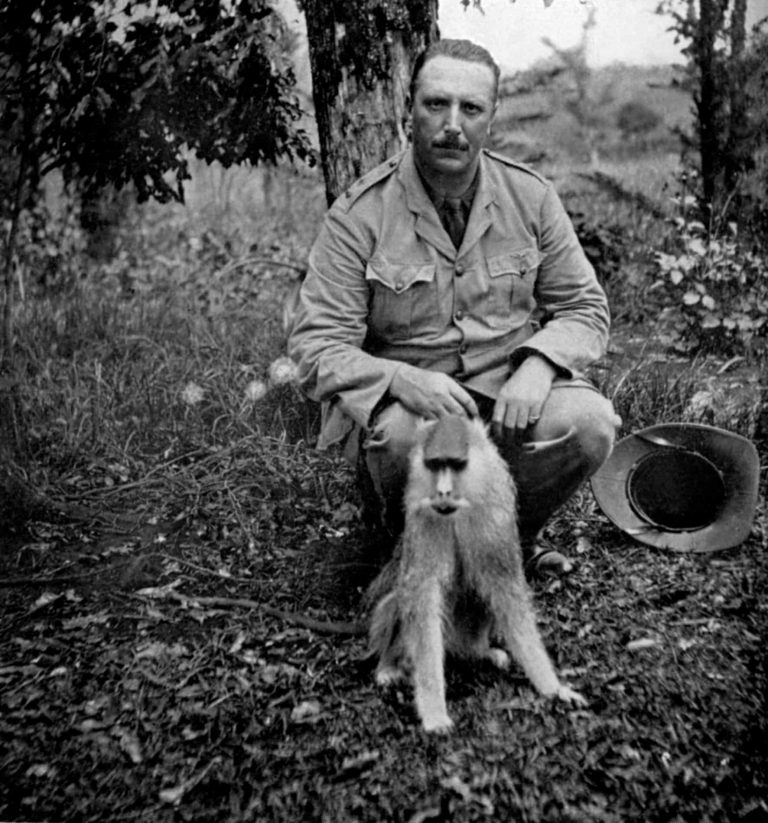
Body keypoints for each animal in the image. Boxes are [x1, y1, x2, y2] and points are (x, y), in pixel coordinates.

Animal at [366, 414, 587, 734]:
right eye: (435, 464)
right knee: (400, 601)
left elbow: (505, 591)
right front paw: (434, 711)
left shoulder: (493, 518)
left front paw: (553, 688)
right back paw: (390, 666)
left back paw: (477, 652)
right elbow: (422, 598)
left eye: (456, 465)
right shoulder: (424, 517)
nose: (443, 491)